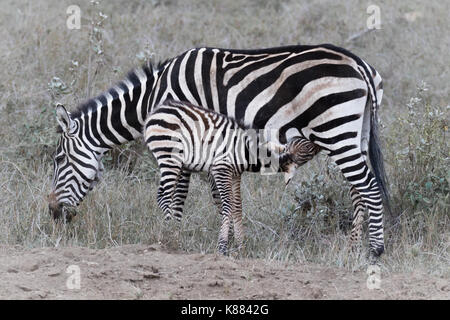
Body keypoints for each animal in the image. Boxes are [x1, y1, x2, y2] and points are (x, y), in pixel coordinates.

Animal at [144, 100, 320, 255]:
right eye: (307, 146)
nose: (318, 142)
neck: (248, 152)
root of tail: (156, 111)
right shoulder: (221, 169)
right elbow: (227, 205)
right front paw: (222, 247)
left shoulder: (235, 175)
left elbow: (237, 207)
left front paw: (241, 246)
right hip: (169, 156)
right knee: (164, 196)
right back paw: (168, 236)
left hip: (174, 161)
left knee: (162, 195)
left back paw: (171, 233)